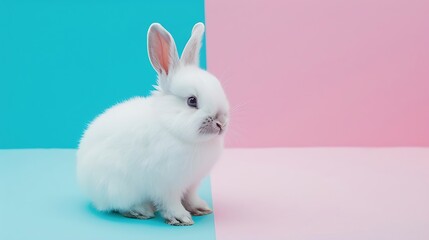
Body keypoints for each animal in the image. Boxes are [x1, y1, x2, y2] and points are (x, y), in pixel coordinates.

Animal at [77, 22, 231, 225]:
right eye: (192, 101)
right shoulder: (166, 185)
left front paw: (201, 208)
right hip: (118, 188)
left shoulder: (191, 183)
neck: (172, 128)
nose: (221, 123)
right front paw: (181, 218)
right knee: (118, 205)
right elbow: (171, 202)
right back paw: (140, 210)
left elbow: (190, 197)